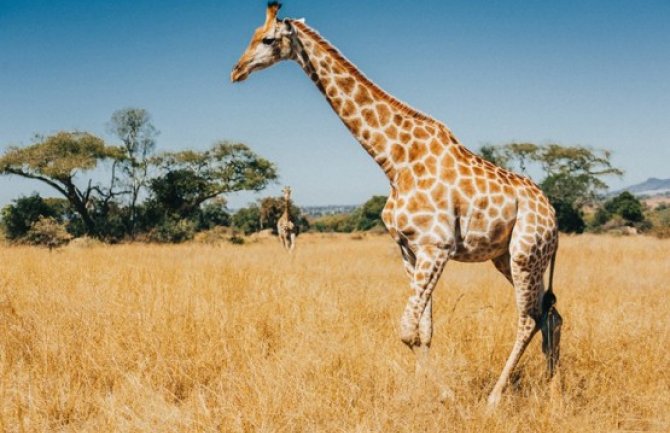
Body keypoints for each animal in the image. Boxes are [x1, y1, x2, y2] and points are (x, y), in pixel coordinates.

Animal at [234, 2, 564, 404]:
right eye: (251, 35)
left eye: (267, 39)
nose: (236, 70)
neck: (393, 161)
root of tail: (553, 215)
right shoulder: (409, 249)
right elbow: (423, 331)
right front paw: (423, 395)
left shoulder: (436, 247)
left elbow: (406, 329)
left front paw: (446, 395)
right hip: (509, 257)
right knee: (550, 313)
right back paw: (553, 389)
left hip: (524, 254)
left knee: (529, 317)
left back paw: (495, 398)